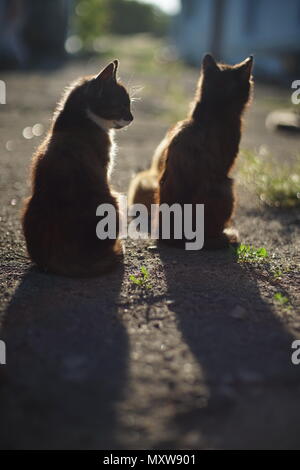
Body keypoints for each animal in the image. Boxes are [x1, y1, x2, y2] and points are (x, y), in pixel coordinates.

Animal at [22, 60, 132, 278]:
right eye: (123, 105)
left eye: (129, 104)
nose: (131, 117)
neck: (76, 121)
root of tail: (58, 257)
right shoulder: (104, 168)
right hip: (113, 200)